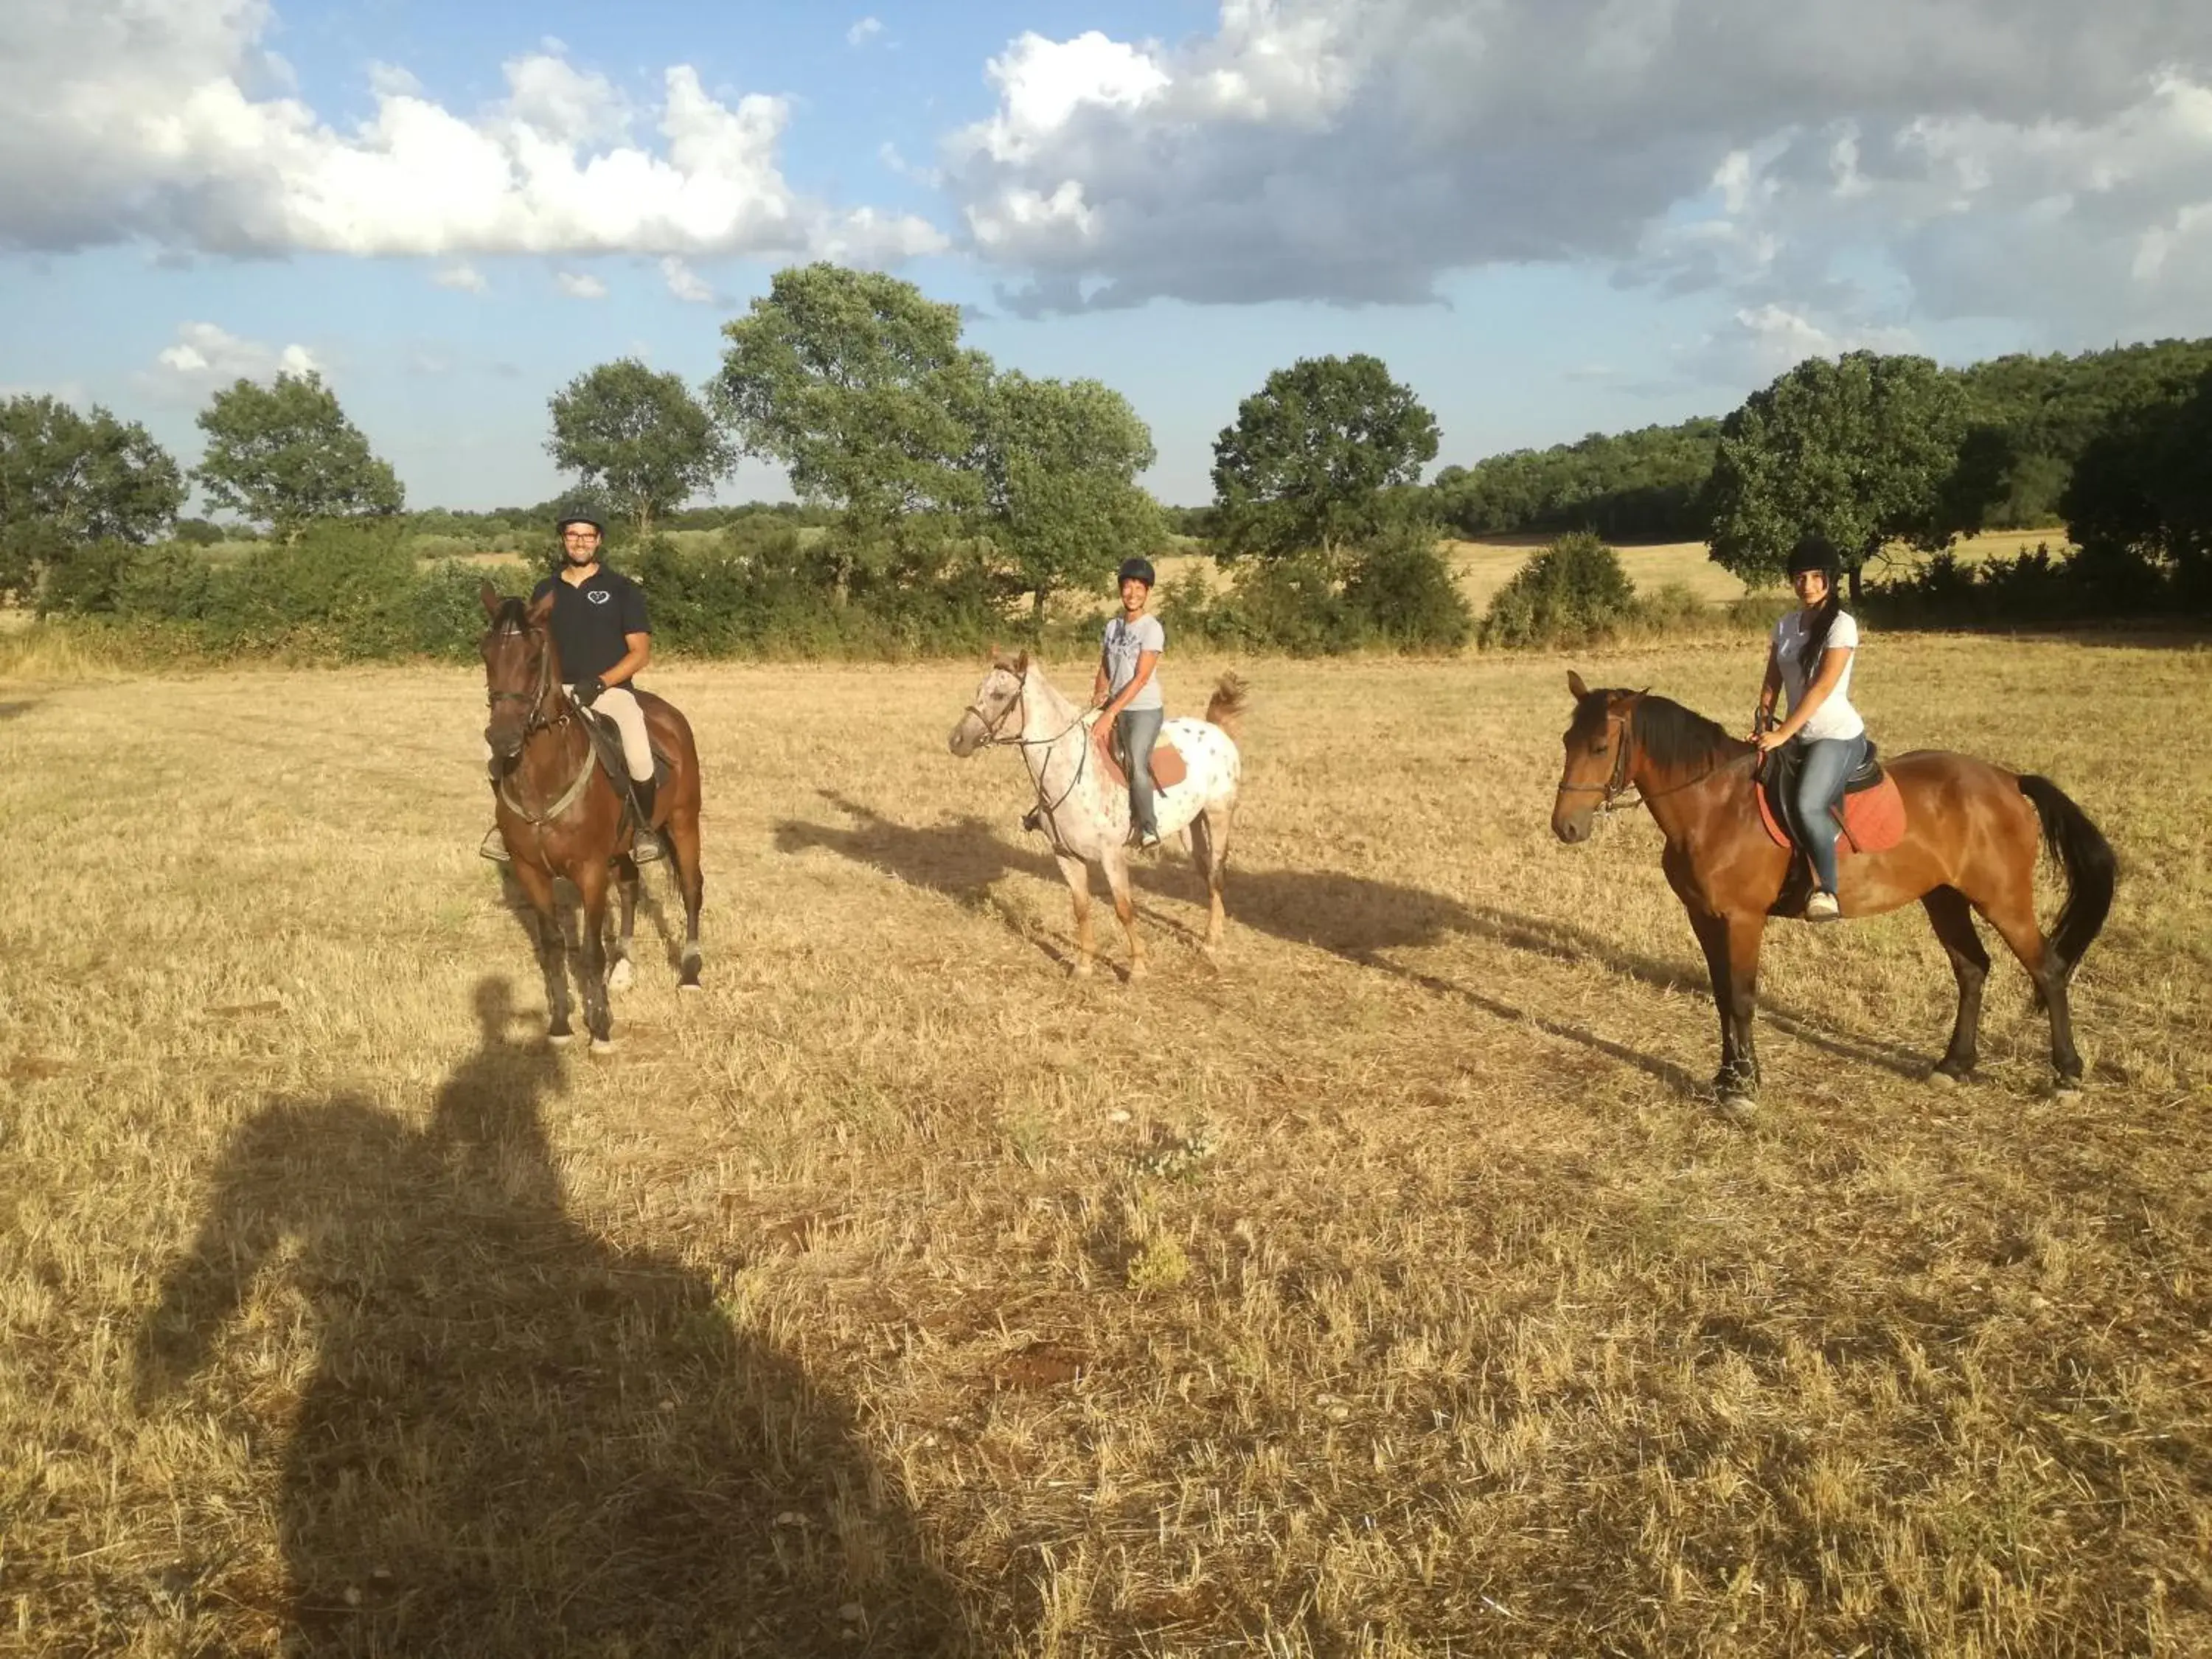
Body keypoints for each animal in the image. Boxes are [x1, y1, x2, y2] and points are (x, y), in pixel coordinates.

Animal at [480, 588, 703, 1053]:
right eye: (485, 652)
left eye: (533, 658)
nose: (502, 739)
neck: (544, 777)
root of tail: (668, 714)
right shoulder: (531, 871)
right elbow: (552, 946)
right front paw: (560, 1024)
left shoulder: (590, 870)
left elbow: (589, 950)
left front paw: (600, 1029)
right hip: (624, 848)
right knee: (632, 887)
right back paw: (624, 970)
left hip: (684, 823)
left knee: (692, 889)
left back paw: (691, 974)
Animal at [947, 650, 1248, 982]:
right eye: (979, 690)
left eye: (999, 695)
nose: (956, 741)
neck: (1070, 769)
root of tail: (1217, 731)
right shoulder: (1066, 856)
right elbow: (1081, 908)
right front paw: (1083, 966)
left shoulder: (1111, 854)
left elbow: (1123, 908)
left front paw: (1138, 968)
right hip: (1189, 826)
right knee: (1206, 871)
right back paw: (1211, 934)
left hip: (1218, 816)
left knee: (1216, 873)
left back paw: (1211, 942)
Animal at [1548, 668, 2115, 1110]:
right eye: (1566, 743)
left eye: (1600, 747)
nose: (1565, 828)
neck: (1716, 805)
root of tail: (2008, 780)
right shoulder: (1704, 917)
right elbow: (1721, 997)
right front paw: (1726, 1077)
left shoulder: (1742, 919)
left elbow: (1742, 997)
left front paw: (1744, 1089)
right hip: (1944, 896)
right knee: (1973, 969)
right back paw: (1953, 1065)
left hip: (2002, 898)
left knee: (2048, 970)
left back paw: (2066, 1076)